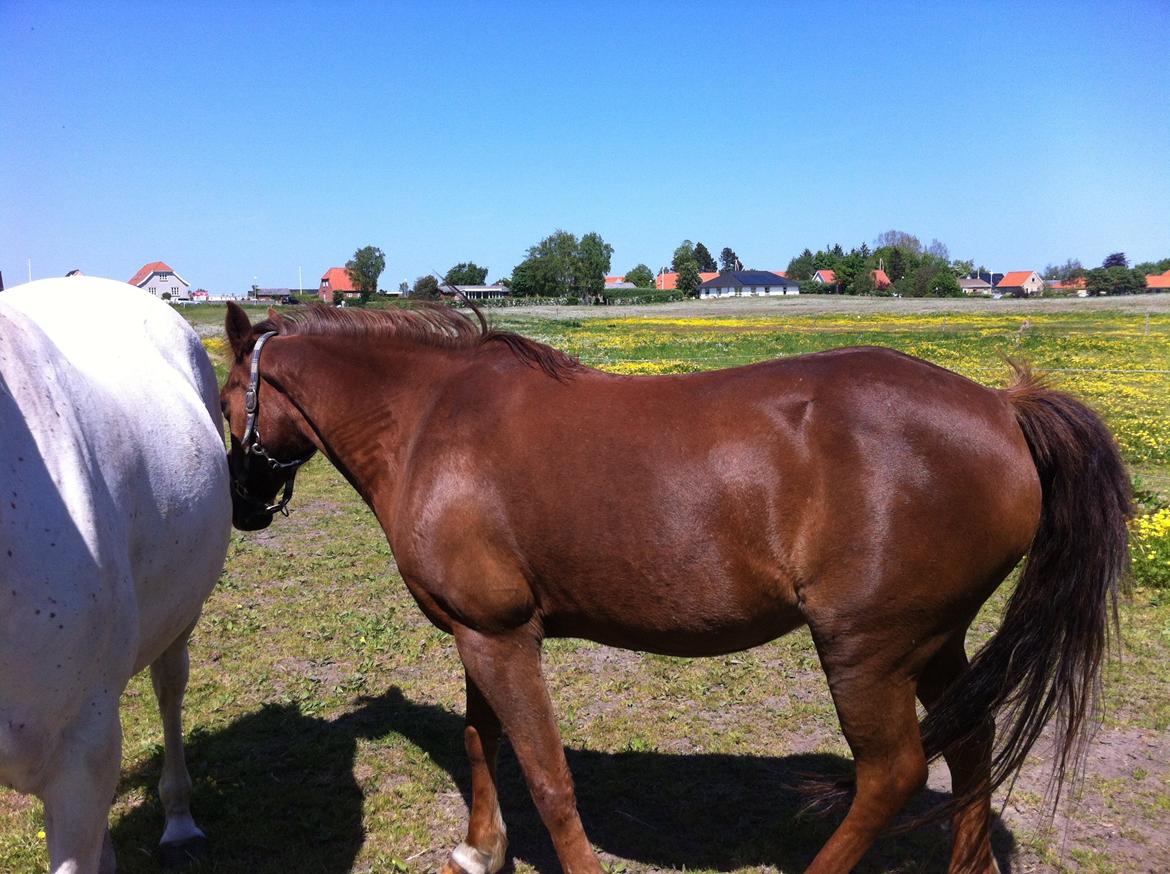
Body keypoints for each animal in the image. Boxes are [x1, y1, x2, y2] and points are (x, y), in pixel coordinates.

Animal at [219, 301, 1130, 874]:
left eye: (227, 398)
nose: (242, 506)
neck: (431, 423)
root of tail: (1004, 409)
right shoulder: (479, 632)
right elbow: (484, 744)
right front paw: (479, 850)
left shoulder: (503, 637)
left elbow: (548, 776)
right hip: (936, 640)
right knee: (971, 747)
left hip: (867, 651)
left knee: (894, 773)